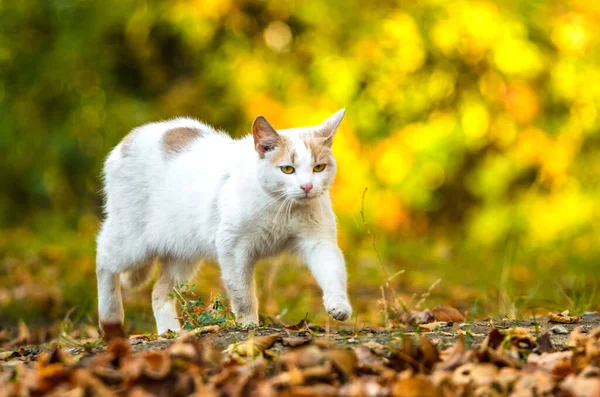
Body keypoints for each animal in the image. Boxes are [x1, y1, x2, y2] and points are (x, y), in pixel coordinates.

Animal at [96, 109, 354, 334]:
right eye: (288, 169)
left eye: (318, 167)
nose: (307, 187)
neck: (282, 208)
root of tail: (129, 138)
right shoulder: (234, 248)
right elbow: (243, 294)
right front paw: (249, 325)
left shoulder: (319, 242)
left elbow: (333, 274)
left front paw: (338, 305)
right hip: (132, 243)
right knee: (103, 258)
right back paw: (110, 319)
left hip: (184, 253)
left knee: (159, 293)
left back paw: (171, 333)